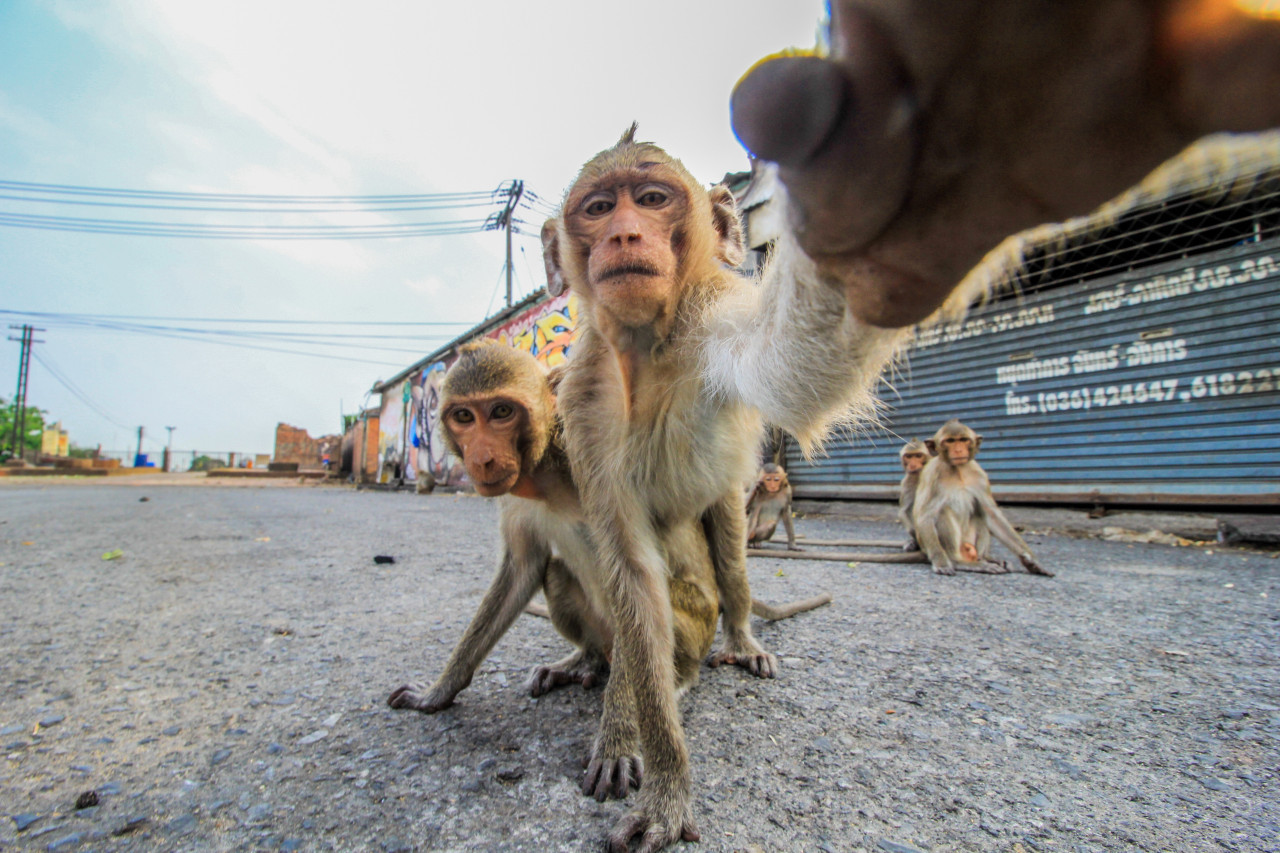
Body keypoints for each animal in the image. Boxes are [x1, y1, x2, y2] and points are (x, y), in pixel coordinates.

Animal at [911, 414, 1049, 573]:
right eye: (950, 441)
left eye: (963, 440)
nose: (958, 450)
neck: (958, 471)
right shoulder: (932, 476)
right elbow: (925, 516)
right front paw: (942, 563)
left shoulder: (980, 476)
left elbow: (992, 515)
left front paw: (1030, 559)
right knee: (942, 512)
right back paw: (958, 562)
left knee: (980, 513)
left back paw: (986, 559)